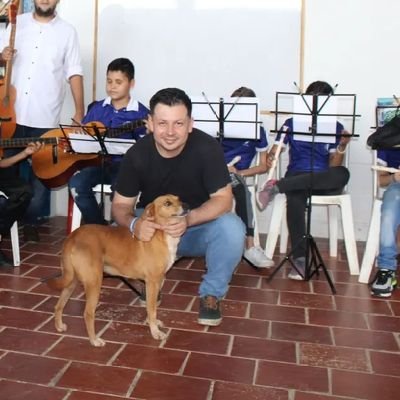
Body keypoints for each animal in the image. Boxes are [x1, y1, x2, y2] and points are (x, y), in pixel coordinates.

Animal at [47, 195, 184, 346]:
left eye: (179, 199)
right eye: (167, 203)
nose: (187, 205)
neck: (159, 233)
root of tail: (72, 237)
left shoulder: (159, 280)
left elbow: (151, 308)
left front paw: (152, 323)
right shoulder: (152, 282)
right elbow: (152, 309)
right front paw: (155, 332)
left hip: (71, 281)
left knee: (58, 305)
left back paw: (59, 326)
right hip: (94, 282)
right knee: (88, 314)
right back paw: (94, 340)